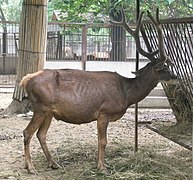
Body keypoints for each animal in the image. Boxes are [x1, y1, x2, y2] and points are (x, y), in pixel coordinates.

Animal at [20, 9, 177, 174]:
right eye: (165, 67)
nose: (176, 76)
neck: (126, 94)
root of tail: (25, 80)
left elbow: (99, 140)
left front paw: (99, 163)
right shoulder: (104, 112)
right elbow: (103, 141)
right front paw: (102, 167)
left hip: (49, 111)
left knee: (41, 134)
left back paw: (53, 163)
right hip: (40, 107)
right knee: (27, 132)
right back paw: (31, 167)